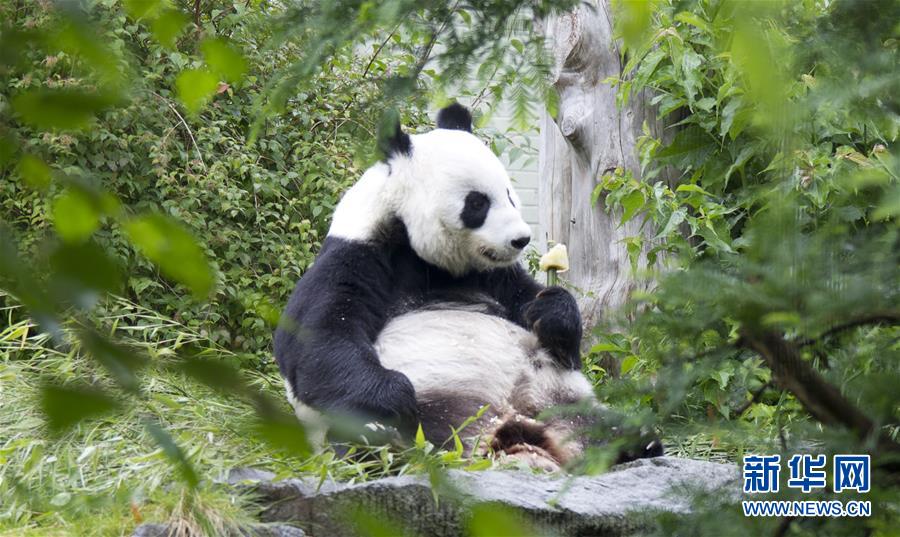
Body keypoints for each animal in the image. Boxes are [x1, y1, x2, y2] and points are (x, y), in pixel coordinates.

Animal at [274, 103, 661, 469]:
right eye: (477, 203)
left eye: (509, 194)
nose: (521, 239)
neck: (423, 254)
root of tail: (511, 434)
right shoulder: (359, 254)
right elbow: (315, 339)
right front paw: (395, 396)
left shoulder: (491, 275)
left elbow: (533, 306)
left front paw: (552, 312)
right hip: (432, 415)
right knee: (370, 440)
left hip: (560, 402)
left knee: (615, 426)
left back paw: (637, 446)